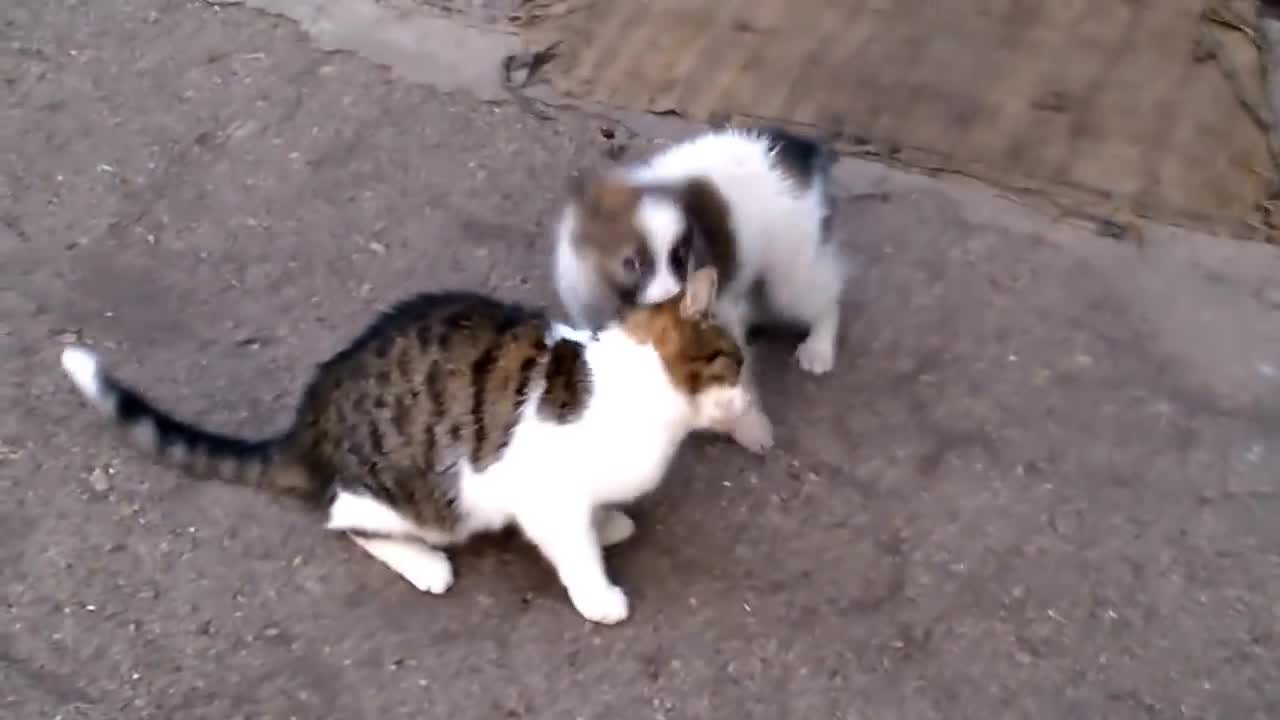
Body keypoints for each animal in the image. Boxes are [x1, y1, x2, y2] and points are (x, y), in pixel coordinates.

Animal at [62, 267, 747, 622]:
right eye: (735, 363)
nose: (748, 396)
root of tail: (309, 425)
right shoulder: (544, 498)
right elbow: (572, 548)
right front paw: (599, 593)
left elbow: (594, 514)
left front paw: (607, 523)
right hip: (428, 497)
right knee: (345, 519)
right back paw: (424, 564)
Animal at [552, 122, 844, 448]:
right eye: (634, 264)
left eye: (680, 259)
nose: (673, 302)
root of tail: (792, 146)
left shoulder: (719, 313)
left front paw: (749, 425)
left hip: (790, 273)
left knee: (824, 298)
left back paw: (819, 347)